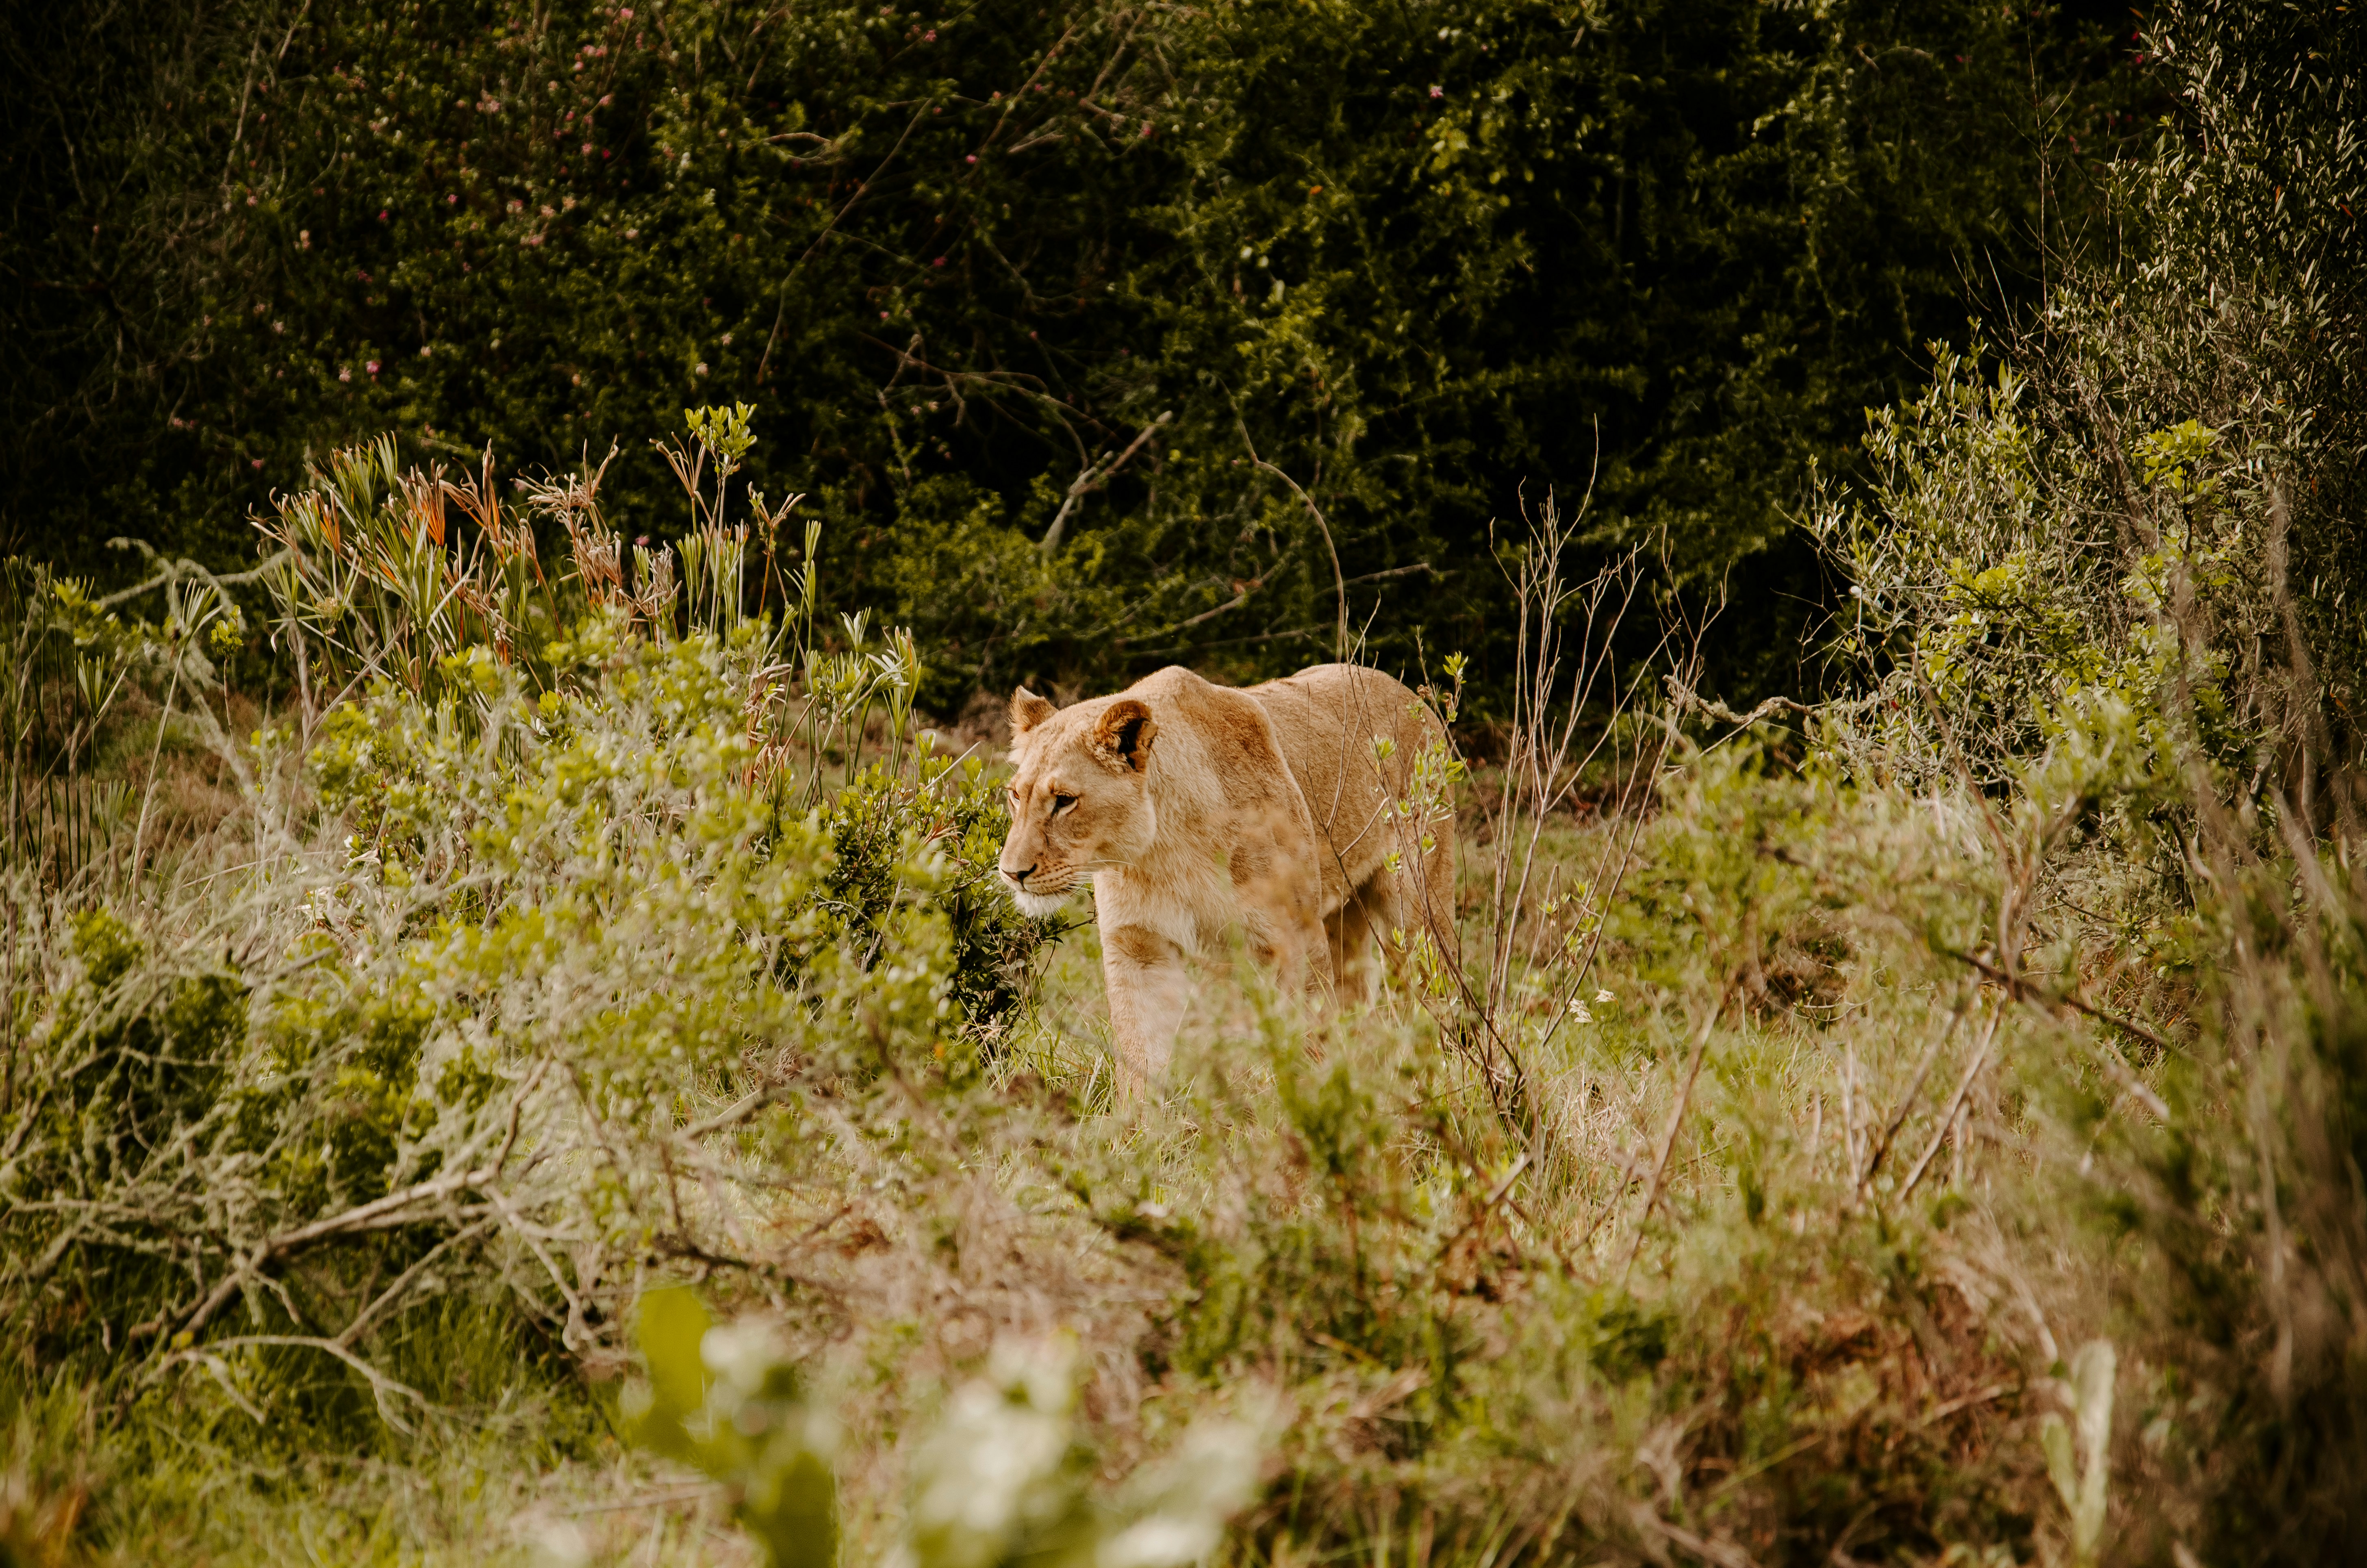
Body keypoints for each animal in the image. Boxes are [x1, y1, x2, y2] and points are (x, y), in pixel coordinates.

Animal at [996, 662, 1455, 1098]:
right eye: (1016, 795)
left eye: (1064, 801)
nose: (1011, 873)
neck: (1163, 851)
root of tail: (1407, 693)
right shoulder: (1138, 948)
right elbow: (1139, 1059)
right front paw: (1137, 1127)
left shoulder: (1295, 940)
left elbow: (1309, 1041)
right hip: (1342, 916)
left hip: (1419, 911)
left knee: (1433, 995)